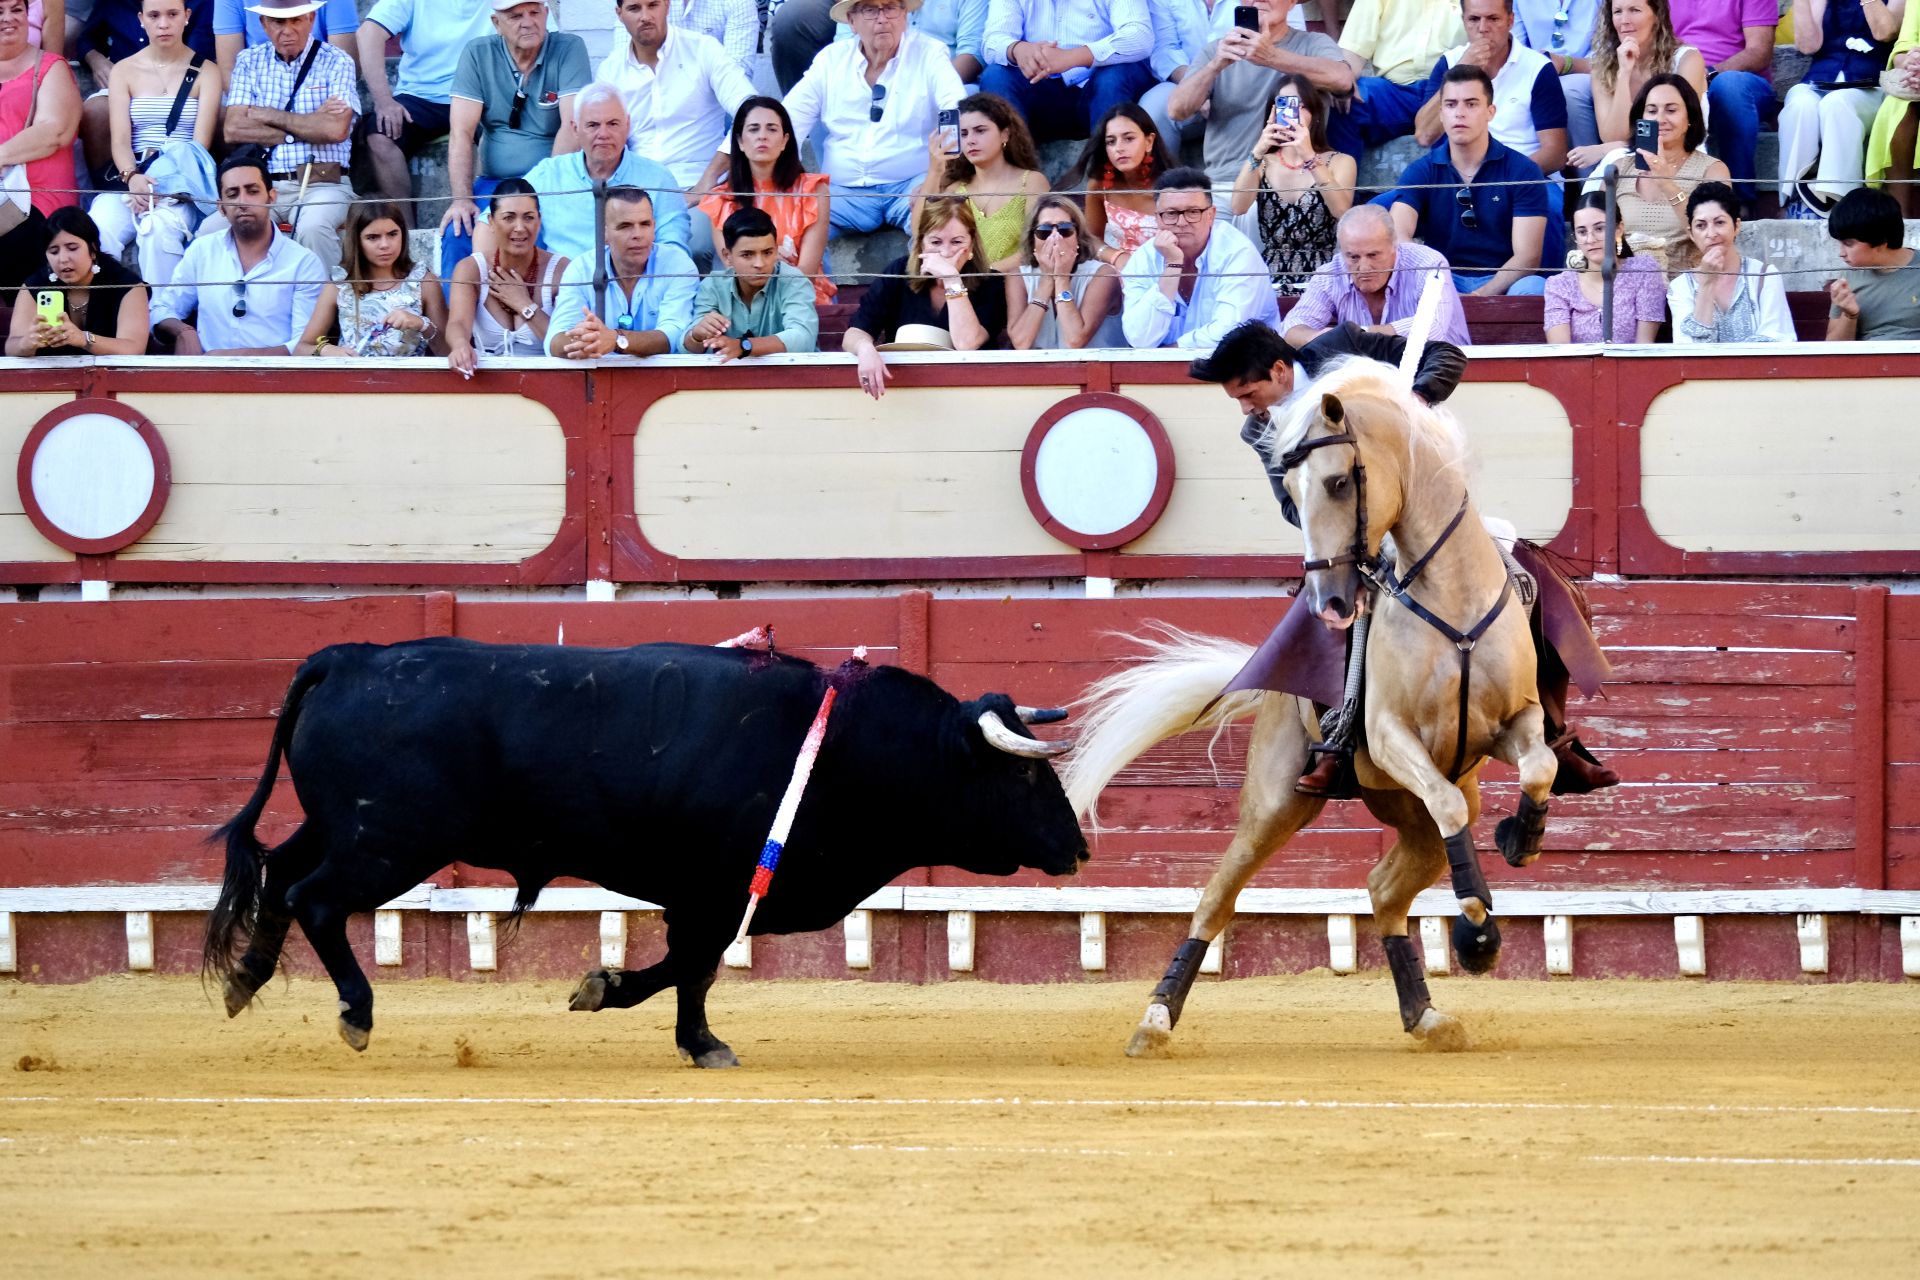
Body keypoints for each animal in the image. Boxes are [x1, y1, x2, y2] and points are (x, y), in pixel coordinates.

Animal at [206, 637, 1098, 1066]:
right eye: (1024, 777)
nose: (1079, 846)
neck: (849, 748)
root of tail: (349, 658)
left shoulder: (708, 895)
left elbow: (686, 970)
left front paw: (656, 1018)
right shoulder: (714, 893)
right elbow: (689, 967)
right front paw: (669, 1026)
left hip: (343, 828)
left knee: (279, 875)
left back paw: (245, 981)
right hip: (390, 842)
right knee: (315, 898)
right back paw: (355, 1013)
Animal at [1067, 360, 1559, 1051]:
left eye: (1337, 481)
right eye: (1292, 497)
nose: (1331, 602)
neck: (1452, 600)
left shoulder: (1516, 721)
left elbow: (1539, 767)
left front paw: (1522, 840)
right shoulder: (1389, 735)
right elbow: (1449, 802)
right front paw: (1477, 928)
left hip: (1408, 816)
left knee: (1386, 889)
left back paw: (1426, 1014)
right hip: (1275, 803)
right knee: (1217, 897)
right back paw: (1155, 1020)